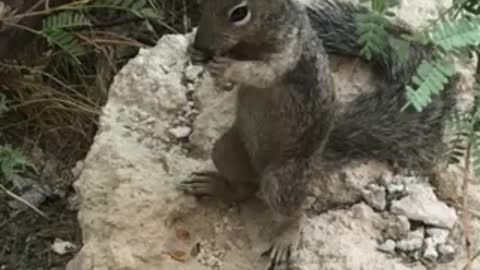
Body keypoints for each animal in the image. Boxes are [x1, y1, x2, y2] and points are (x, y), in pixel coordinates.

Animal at [178, 0, 456, 268]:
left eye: (239, 13)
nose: (200, 43)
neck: (250, 44)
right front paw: (196, 54)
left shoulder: (288, 52)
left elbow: (261, 73)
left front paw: (228, 67)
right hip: (226, 150)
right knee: (245, 187)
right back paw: (214, 185)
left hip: (282, 178)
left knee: (292, 209)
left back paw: (286, 237)